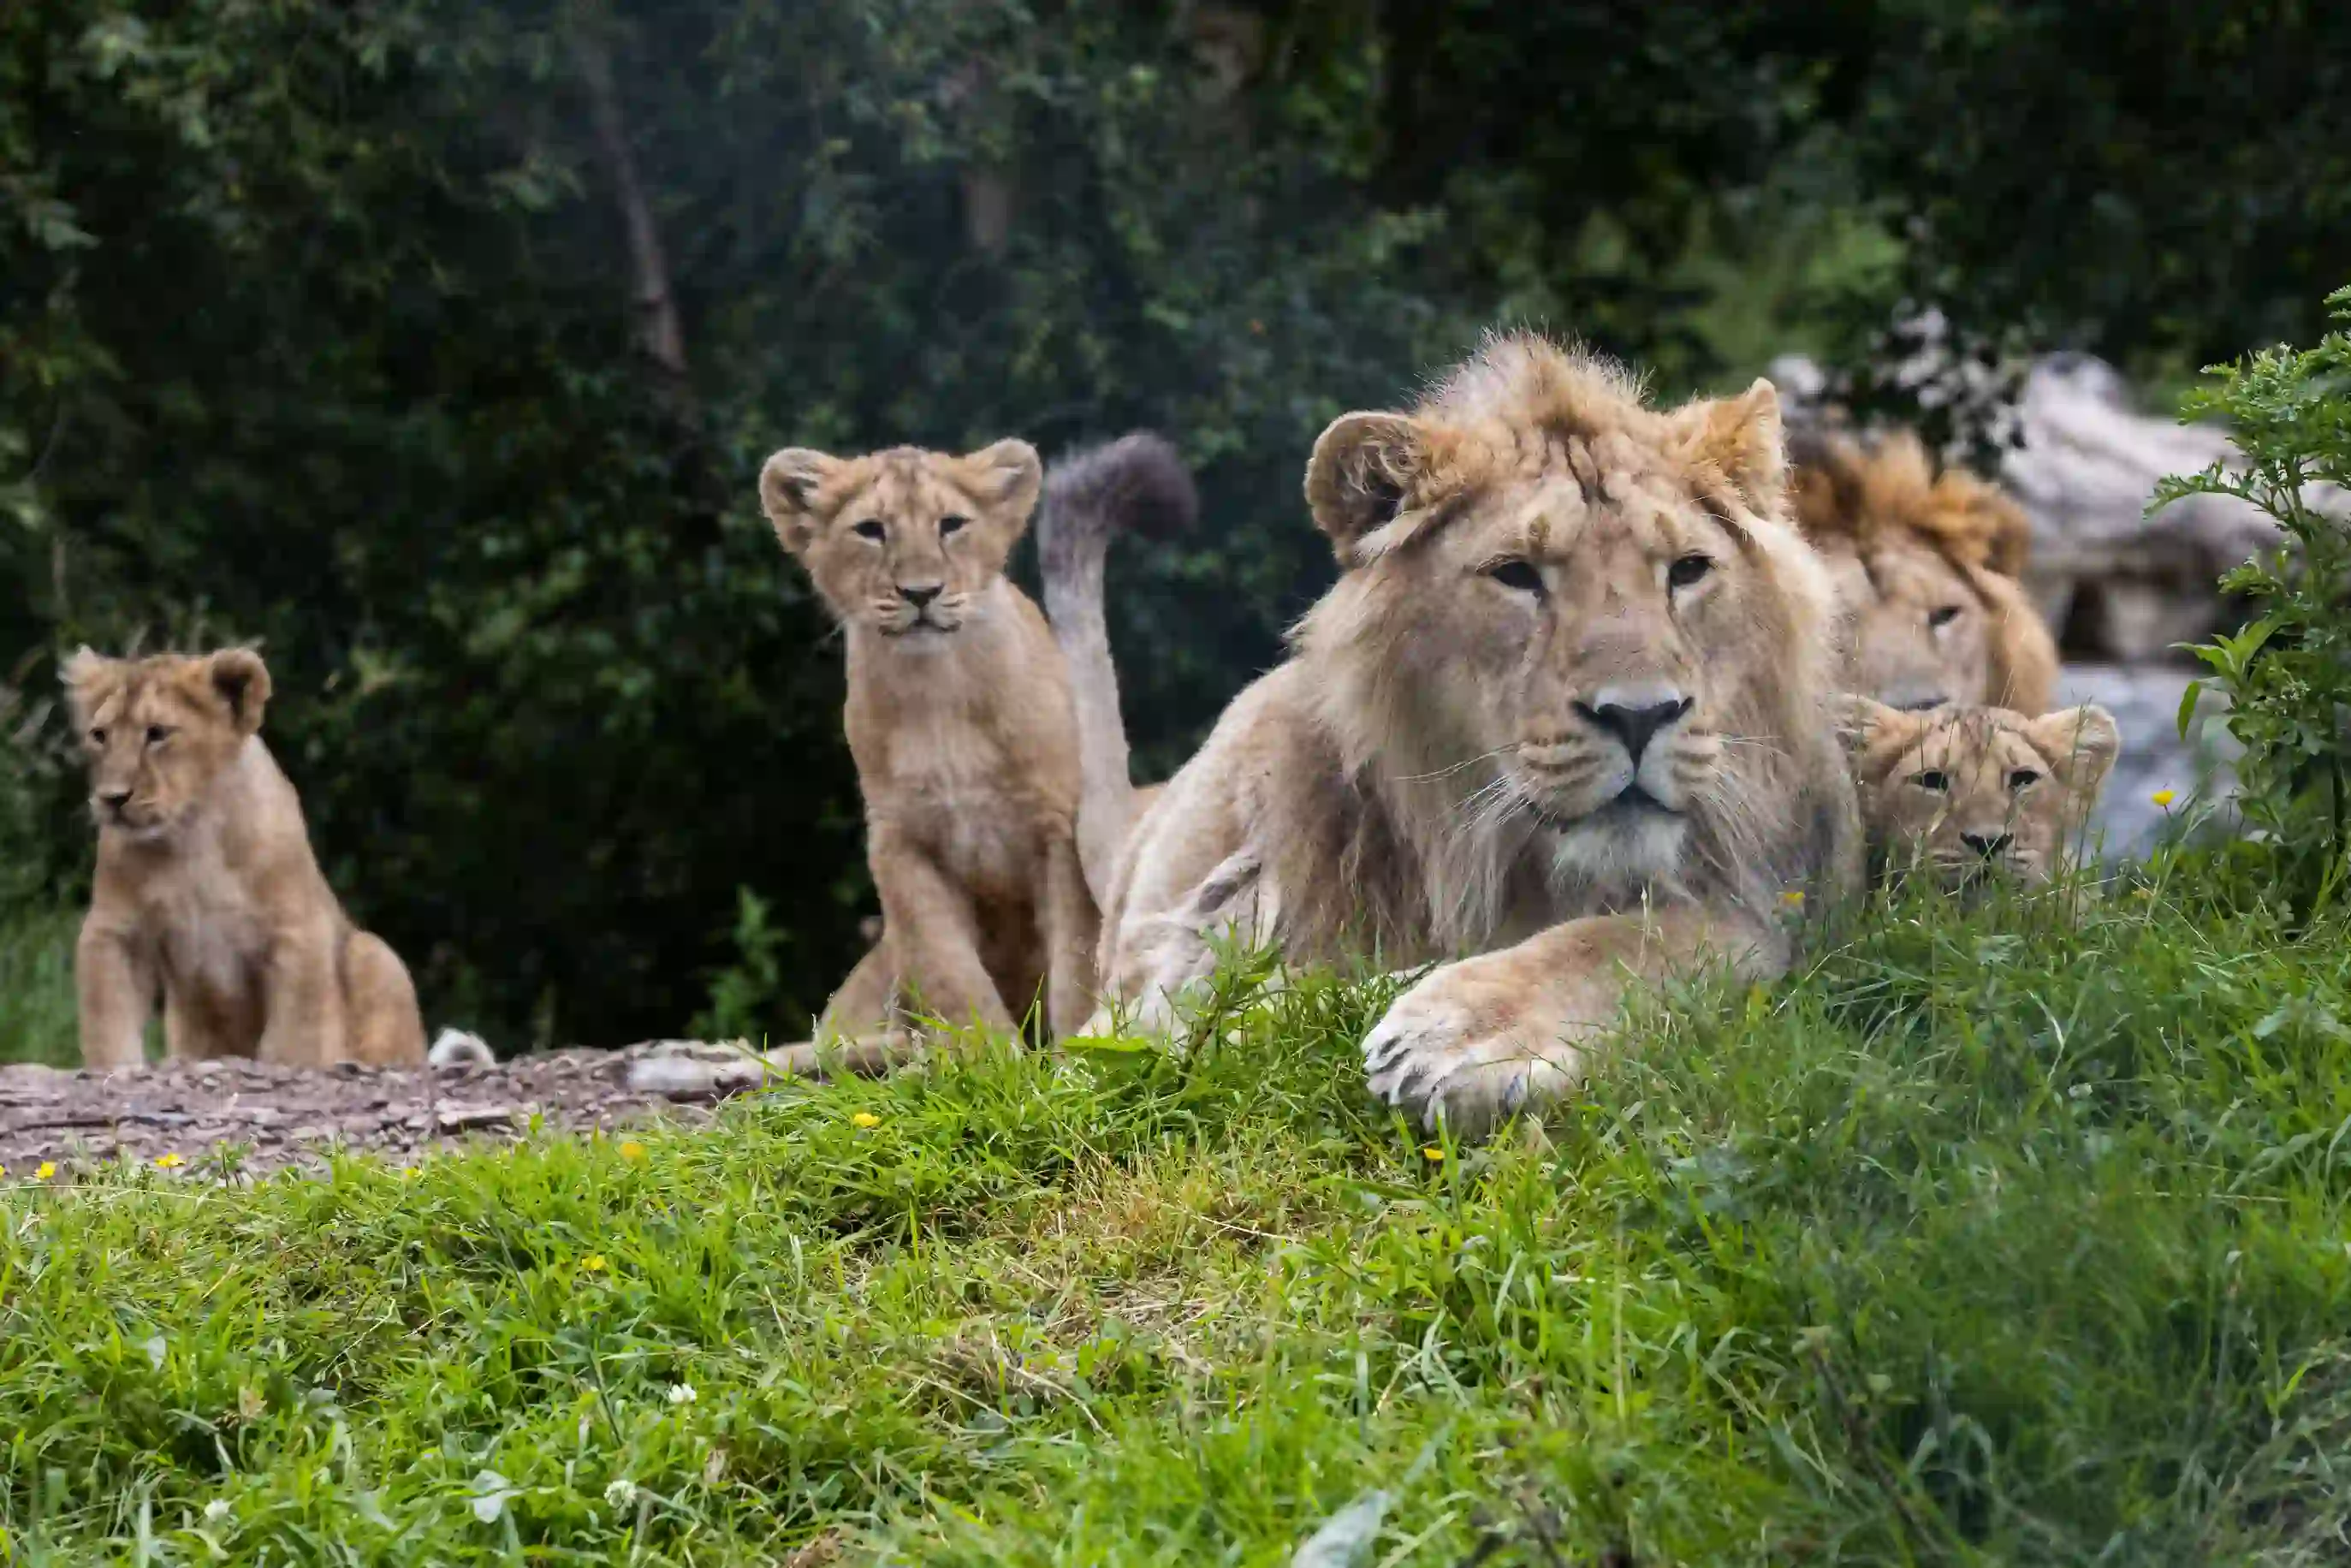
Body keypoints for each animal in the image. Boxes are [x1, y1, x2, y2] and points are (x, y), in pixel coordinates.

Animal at [65, 644, 427, 1072]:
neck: (192, 835)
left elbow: (296, 1034)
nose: (112, 799)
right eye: (99, 735)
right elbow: (108, 1020)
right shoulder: (114, 932)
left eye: (156, 733)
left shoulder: (297, 930)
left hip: (375, 955)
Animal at [1077, 334, 1852, 1142]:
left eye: (1689, 570)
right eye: (1516, 575)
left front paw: (1458, 1032)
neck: (1483, 866)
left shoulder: (1760, 915)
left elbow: (1631, 939)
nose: (1641, 715)